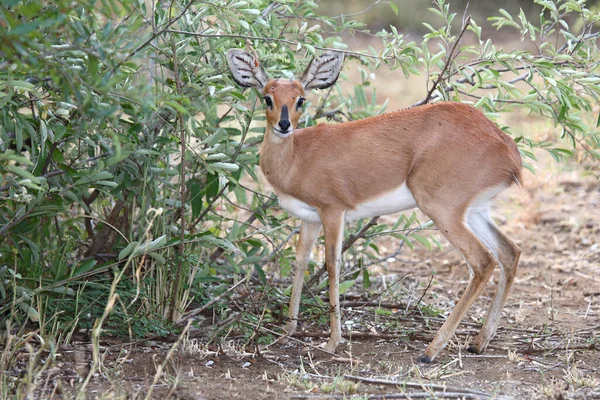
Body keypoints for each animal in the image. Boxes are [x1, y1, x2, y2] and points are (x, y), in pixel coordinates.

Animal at [227, 47, 524, 362]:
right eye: (268, 98)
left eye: (300, 99)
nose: (284, 125)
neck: (298, 157)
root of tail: (506, 146)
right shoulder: (308, 218)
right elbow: (301, 262)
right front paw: (287, 331)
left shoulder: (333, 211)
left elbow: (332, 264)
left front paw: (332, 341)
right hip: (475, 211)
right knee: (509, 252)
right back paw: (479, 343)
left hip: (442, 211)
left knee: (483, 261)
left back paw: (430, 350)